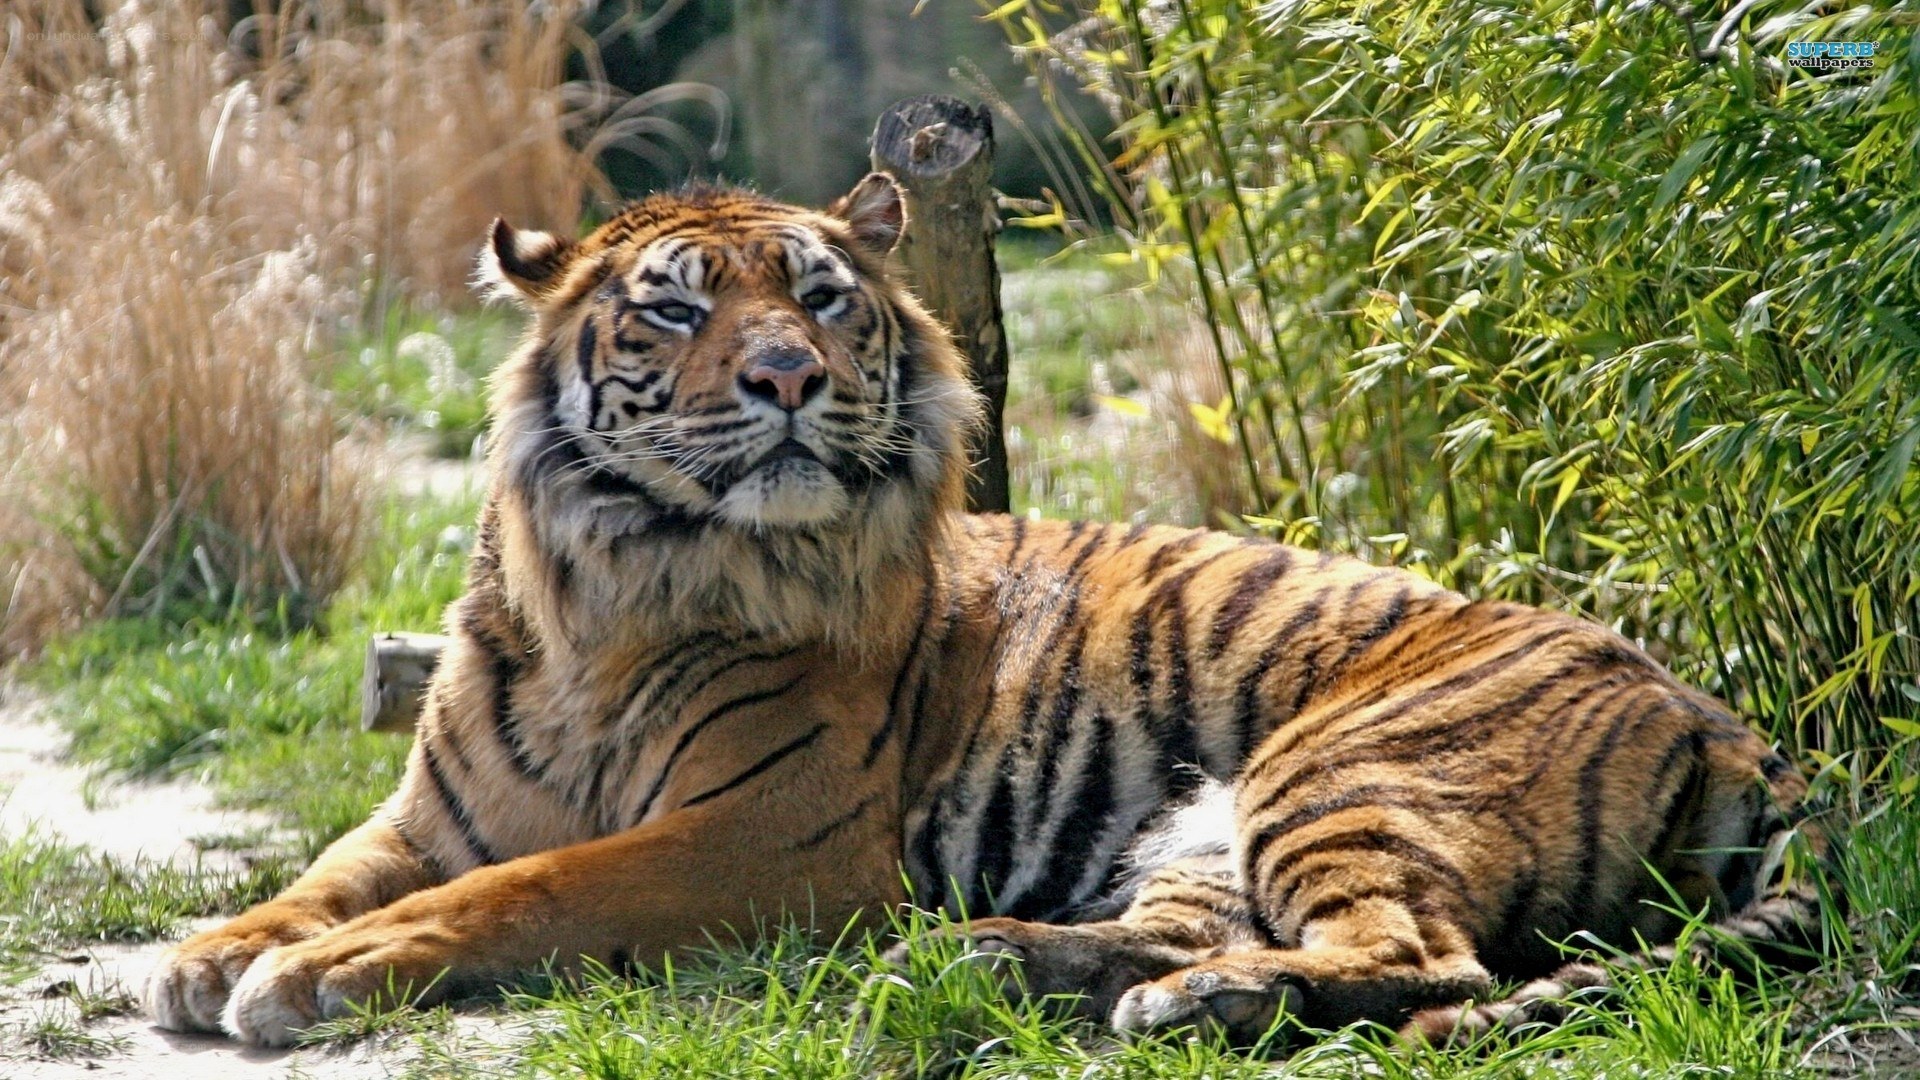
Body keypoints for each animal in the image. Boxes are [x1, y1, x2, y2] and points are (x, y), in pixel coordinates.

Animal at [145, 173, 1821, 1049]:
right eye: (678, 307)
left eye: (819, 298)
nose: (789, 376)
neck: (612, 597)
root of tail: (1730, 722)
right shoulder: (431, 815)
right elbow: (325, 873)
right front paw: (218, 950)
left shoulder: (768, 837)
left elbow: (533, 891)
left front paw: (315, 977)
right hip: (1202, 829)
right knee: (1185, 934)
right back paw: (988, 965)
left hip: (1341, 768)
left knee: (1429, 963)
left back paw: (1184, 999)